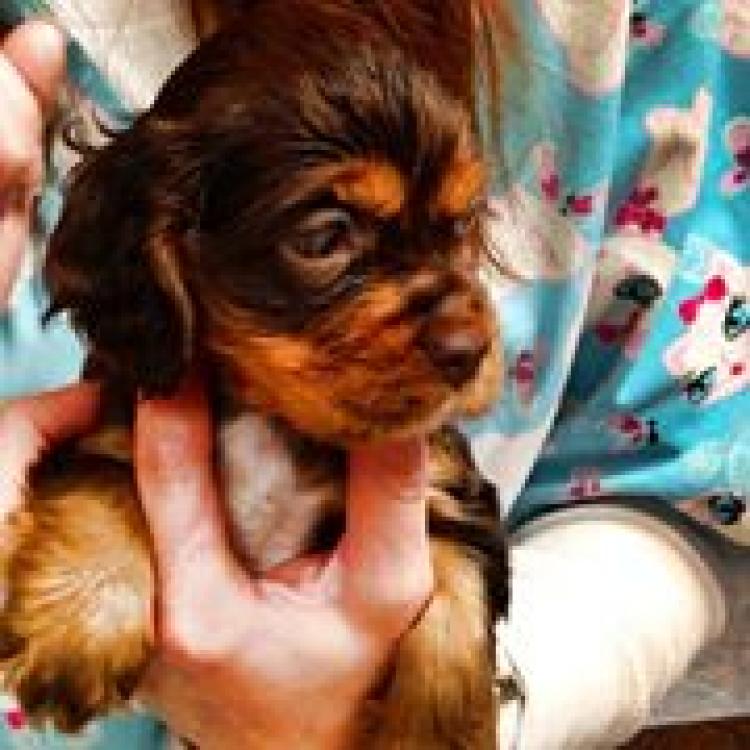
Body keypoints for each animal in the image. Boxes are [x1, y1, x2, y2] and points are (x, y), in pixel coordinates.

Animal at [0, 1, 514, 746]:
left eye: (461, 223)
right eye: (324, 238)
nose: (469, 350)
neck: (272, 421)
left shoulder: (456, 492)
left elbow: (457, 600)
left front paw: (440, 733)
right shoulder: (115, 424)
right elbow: (104, 481)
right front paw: (78, 628)